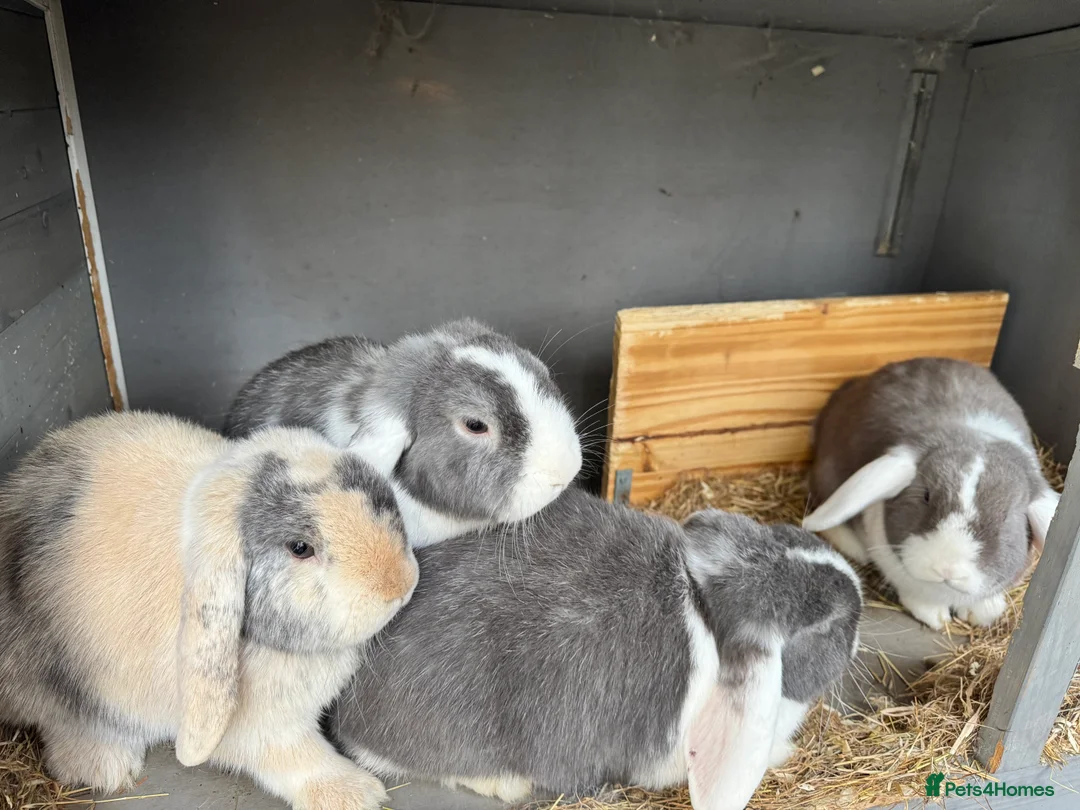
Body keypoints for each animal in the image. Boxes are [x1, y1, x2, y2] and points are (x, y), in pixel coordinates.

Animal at [0, 410, 419, 810]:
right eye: (300, 547)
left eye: (380, 499)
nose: (400, 585)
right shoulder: (265, 729)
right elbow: (298, 758)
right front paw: (357, 794)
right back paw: (109, 767)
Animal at [328, 487, 862, 810]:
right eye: (825, 625)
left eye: (785, 534)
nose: (857, 599)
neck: (706, 612)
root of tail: (350, 717)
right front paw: (783, 751)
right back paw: (506, 783)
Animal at [803, 357, 1061, 631]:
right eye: (926, 496)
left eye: (1007, 518)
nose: (947, 569)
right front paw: (935, 617)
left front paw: (984, 613)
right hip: (829, 475)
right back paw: (854, 548)